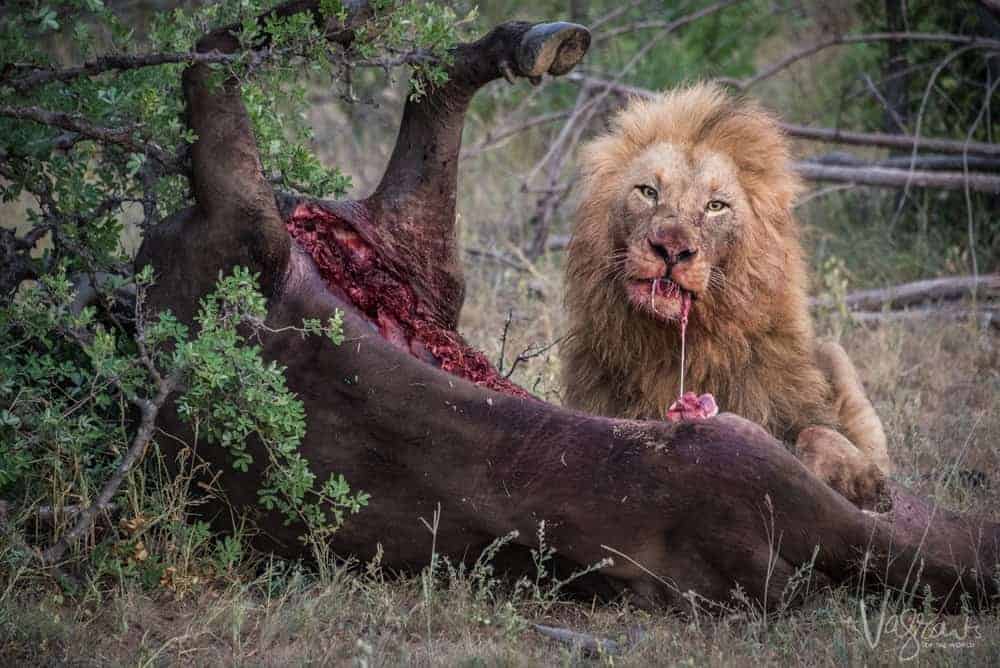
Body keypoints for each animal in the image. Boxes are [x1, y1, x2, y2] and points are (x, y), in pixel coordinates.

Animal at [564, 85, 892, 512]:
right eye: (649, 192)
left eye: (715, 206)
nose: (671, 248)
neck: (680, 344)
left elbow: (817, 431)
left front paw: (861, 480)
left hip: (833, 351)